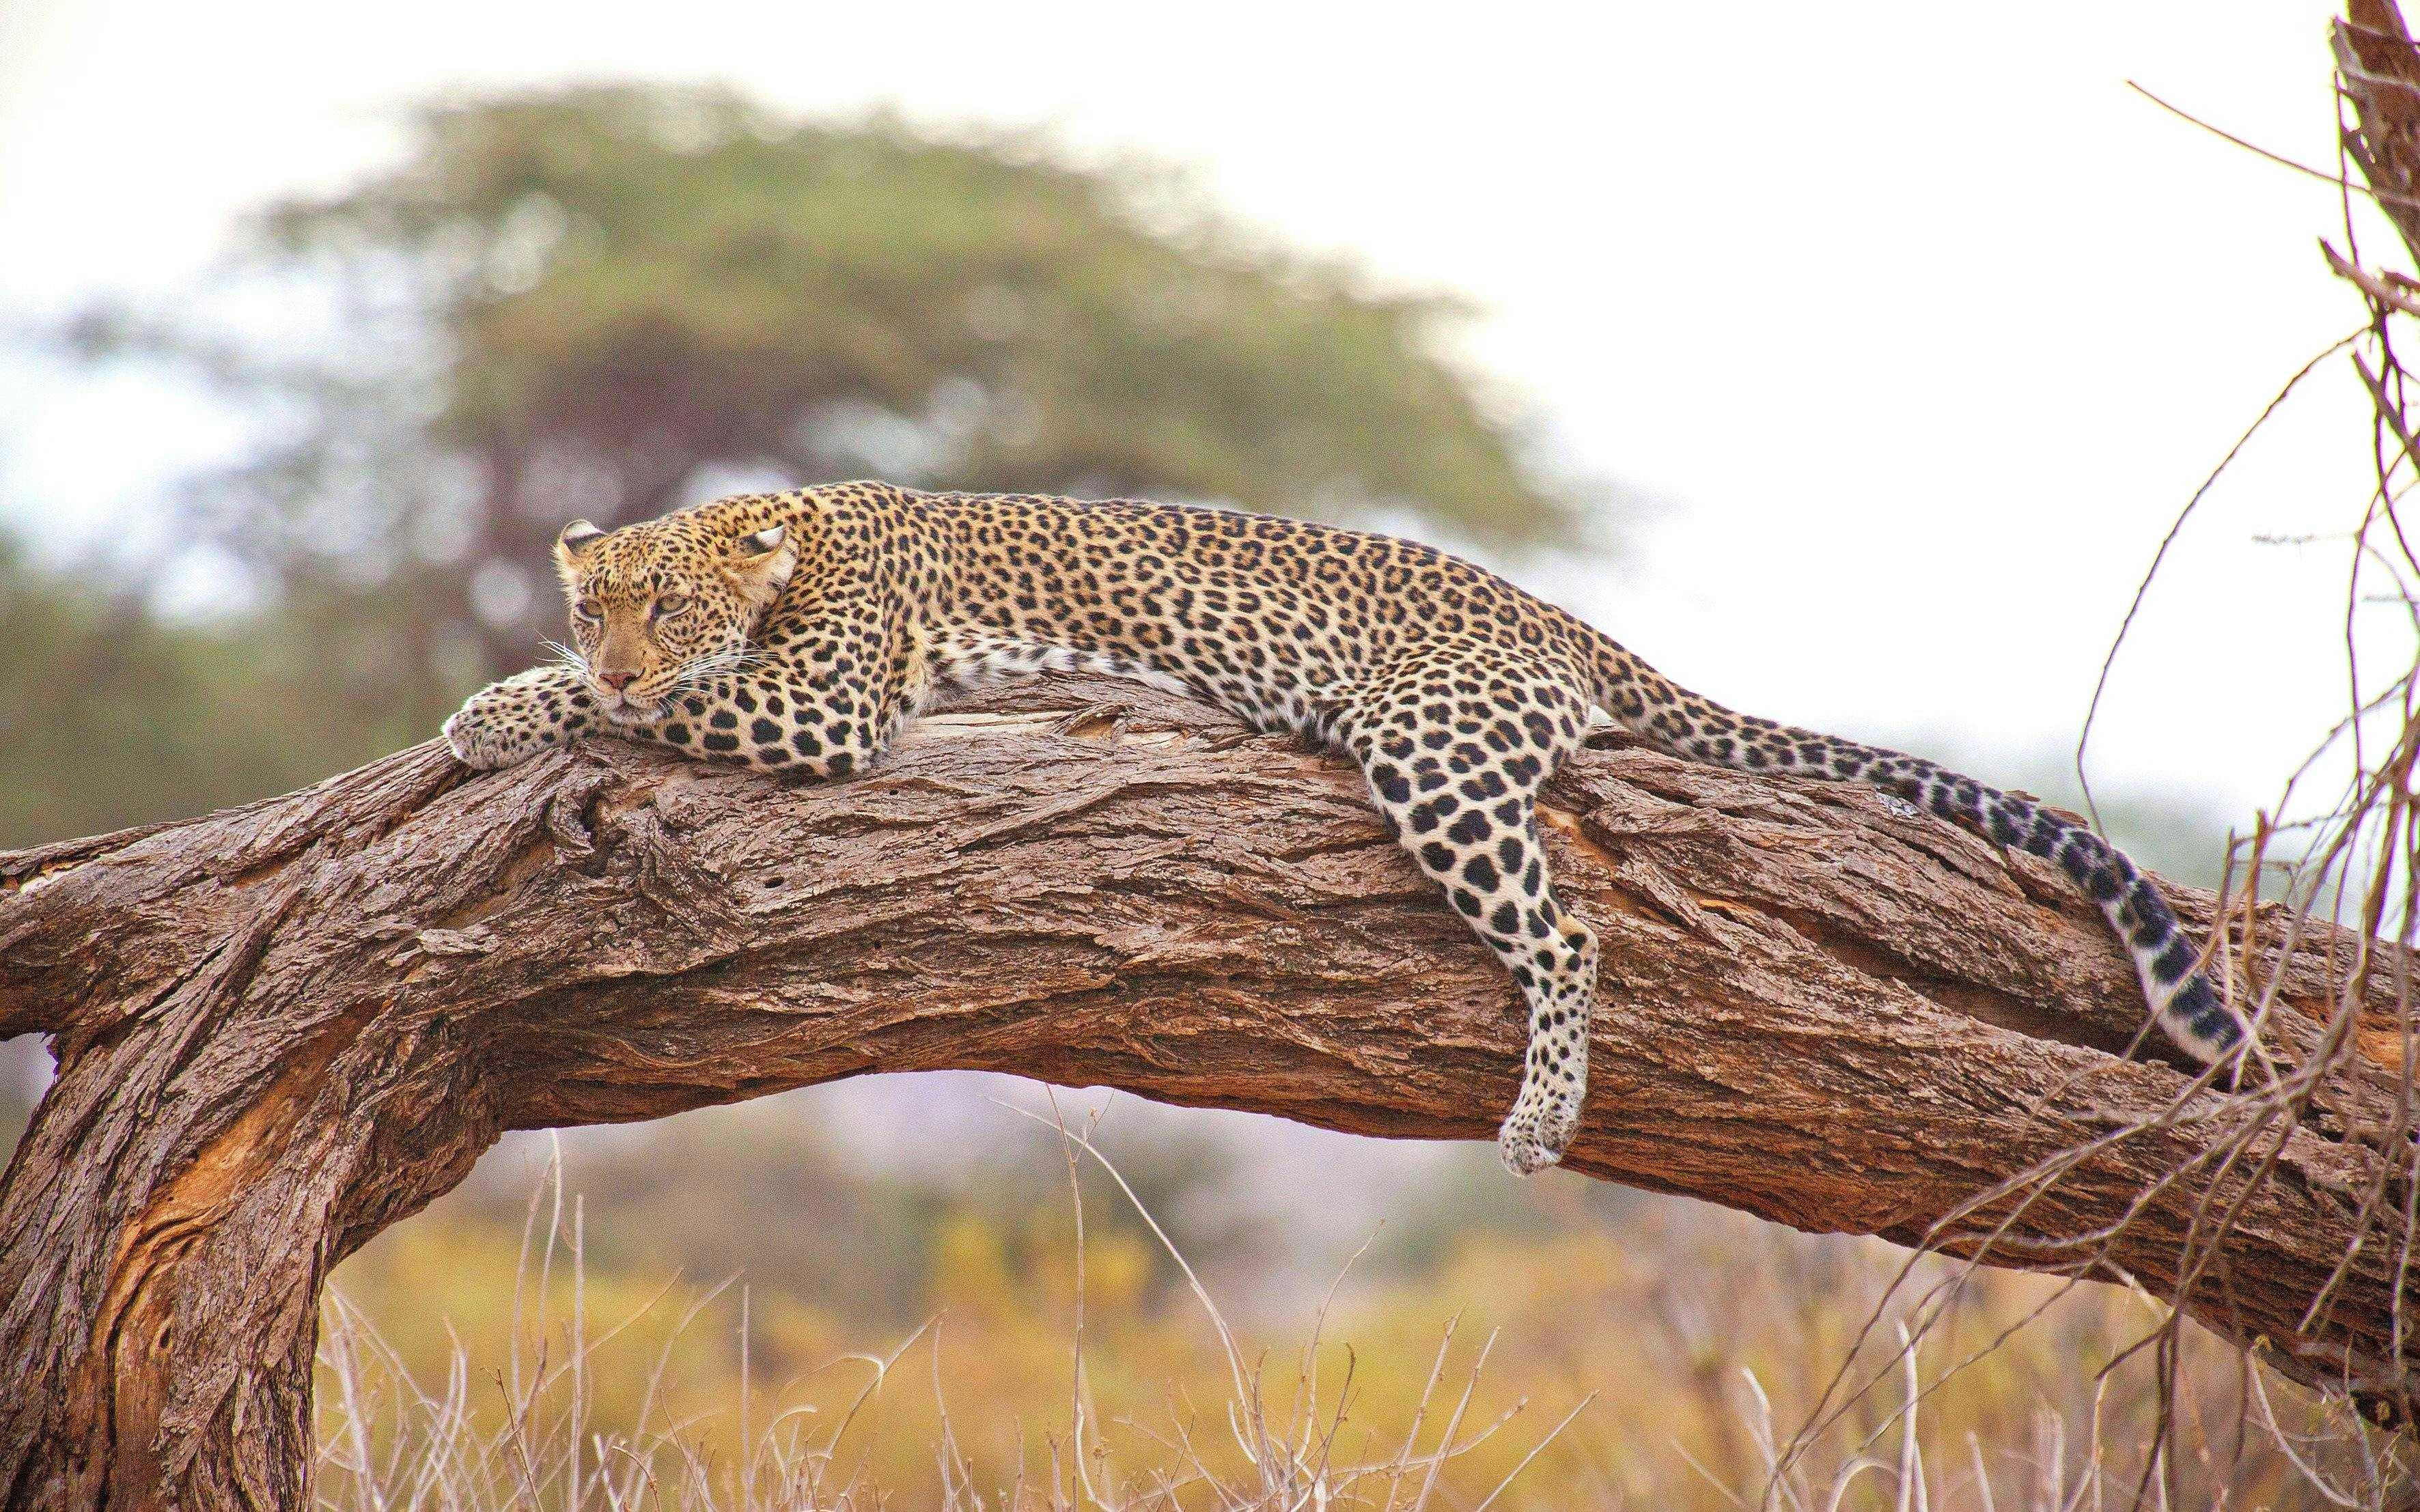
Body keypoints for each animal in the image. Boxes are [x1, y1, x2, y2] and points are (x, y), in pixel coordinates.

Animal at [444, 481, 2247, 1175]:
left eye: (668, 611)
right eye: (602, 600)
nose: (617, 644)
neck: (789, 538)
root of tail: (1561, 621)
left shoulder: (820, 702)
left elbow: (644, 716)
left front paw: (513, 711)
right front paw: (502, 696)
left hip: (1428, 750)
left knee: (1567, 926)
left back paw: (1538, 1119)